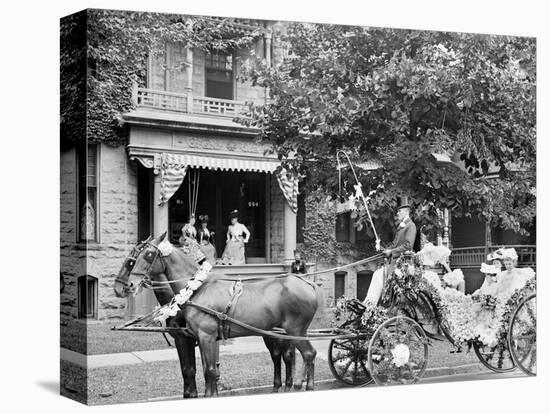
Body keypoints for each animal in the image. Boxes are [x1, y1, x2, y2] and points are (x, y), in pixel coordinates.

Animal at [115, 234, 322, 396]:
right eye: (135, 258)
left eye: (148, 255)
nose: (128, 285)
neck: (198, 288)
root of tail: (307, 283)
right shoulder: (197, 337)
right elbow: (201, 370)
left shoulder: (204, 336)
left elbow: (208, 371)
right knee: (292, 355)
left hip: (294, 330)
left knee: (306, 354)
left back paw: (299, 385)